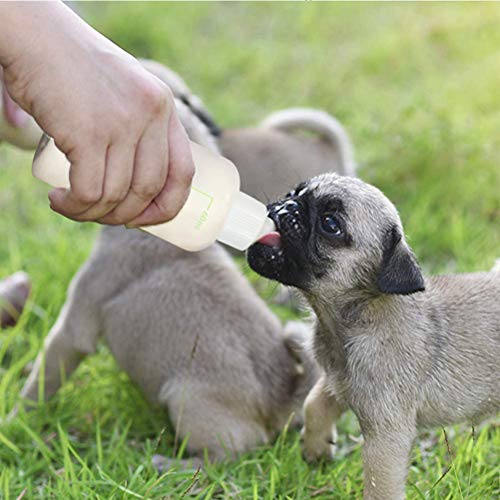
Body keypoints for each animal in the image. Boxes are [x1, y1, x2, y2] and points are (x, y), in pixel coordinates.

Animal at [247, 173, 500, 500]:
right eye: (296, 192)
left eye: (330, 223)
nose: (288, 206)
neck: (356, 317)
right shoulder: (337, 383)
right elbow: (314, 405)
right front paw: (316, 448)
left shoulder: (386, 435)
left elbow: (380, 484)